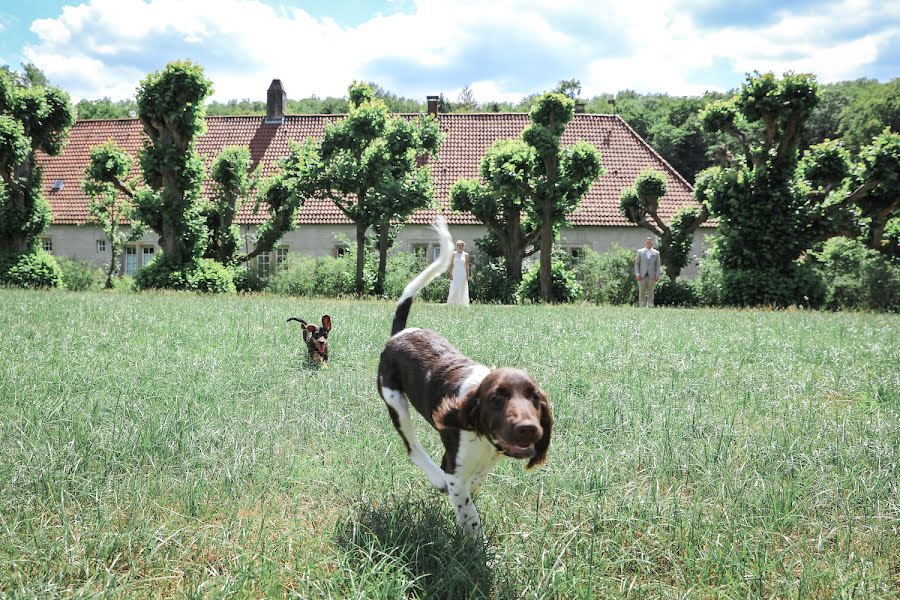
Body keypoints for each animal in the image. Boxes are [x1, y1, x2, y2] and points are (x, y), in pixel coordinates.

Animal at [376, 217, 552, 536]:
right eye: (496, 397)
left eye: (535, 398)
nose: (528, 429)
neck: (484, 436)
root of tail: (401, 333)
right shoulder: (455, 467)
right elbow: (468, 510)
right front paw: (473, 540)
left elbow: (477, 481)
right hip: (394, 400)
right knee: (412, 446)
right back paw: (435, 478)